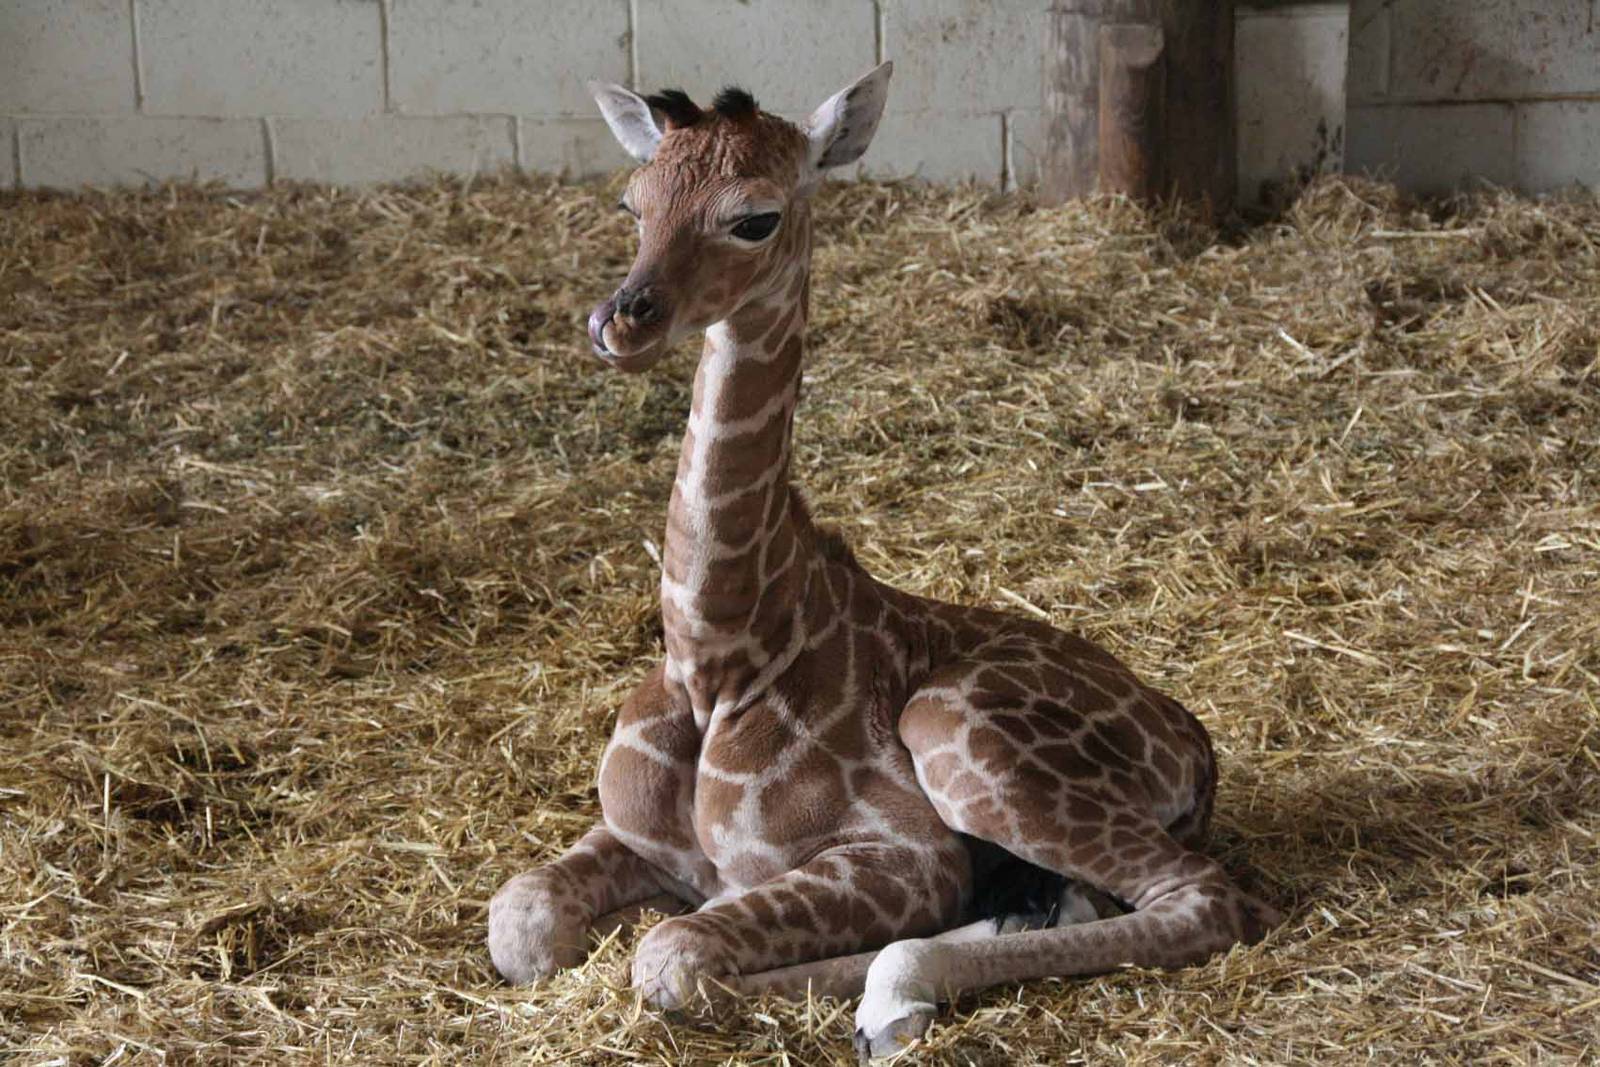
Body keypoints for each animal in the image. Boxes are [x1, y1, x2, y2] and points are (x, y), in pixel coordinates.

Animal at [487, 62, 1281, 1057]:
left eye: (756, 217)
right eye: (634, 204)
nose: (617, 322)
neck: (716, 653)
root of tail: (1195, 742)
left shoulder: (906, 855)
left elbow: (675, 957)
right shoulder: (634, 836)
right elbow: (520, 923)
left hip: (951, 729)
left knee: (1203, 898)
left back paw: (900, 992)